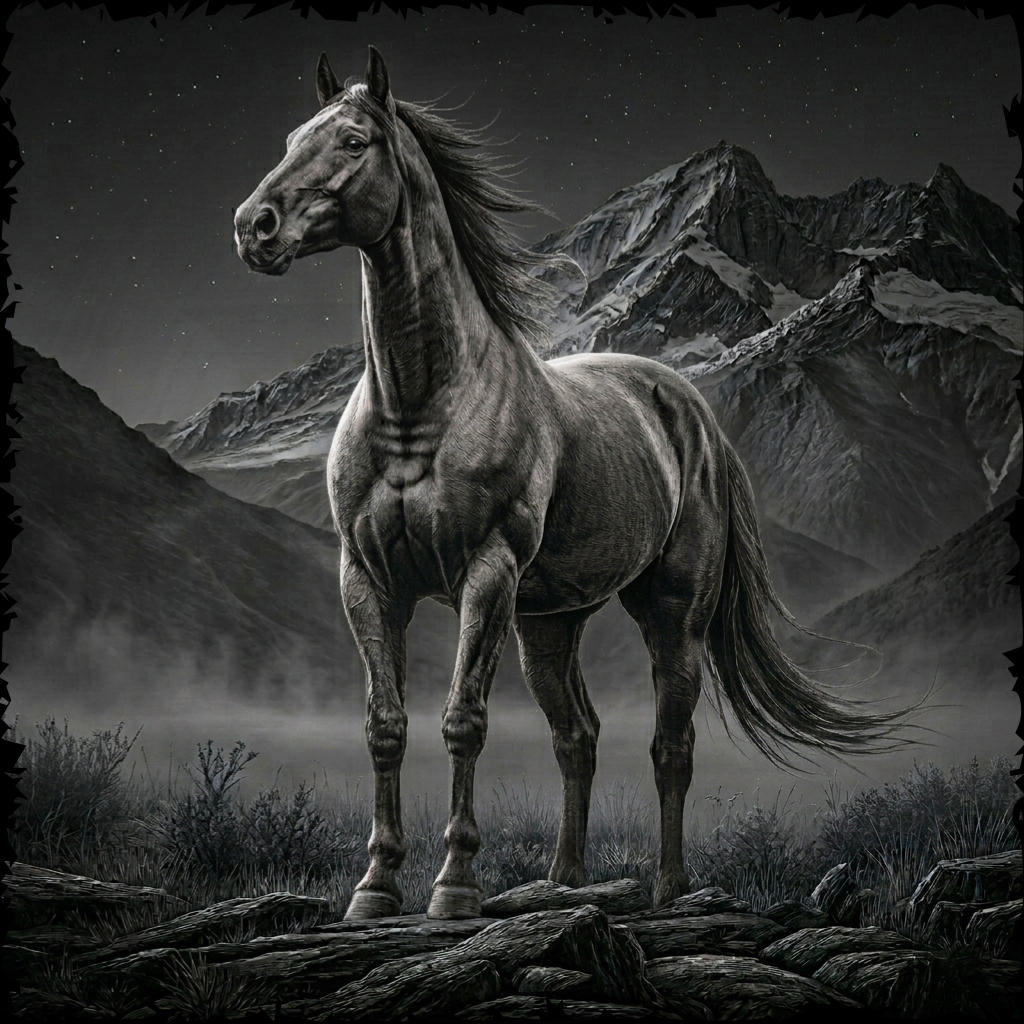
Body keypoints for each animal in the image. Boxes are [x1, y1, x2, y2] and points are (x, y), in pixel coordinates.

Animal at [233, 47, 915, 921]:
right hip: (549, 624)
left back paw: (668, 889)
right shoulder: (368, 580)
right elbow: (386, 725)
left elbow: (463, 721)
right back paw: (561, 882)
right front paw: (376, 887)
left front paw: (455, 888)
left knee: (670, 744)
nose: (255, 226)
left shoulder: (486, 573)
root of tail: (689, 408)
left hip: (670, 615)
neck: (420, 404)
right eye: (293, 137)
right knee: (577, 736)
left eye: (354, 140)